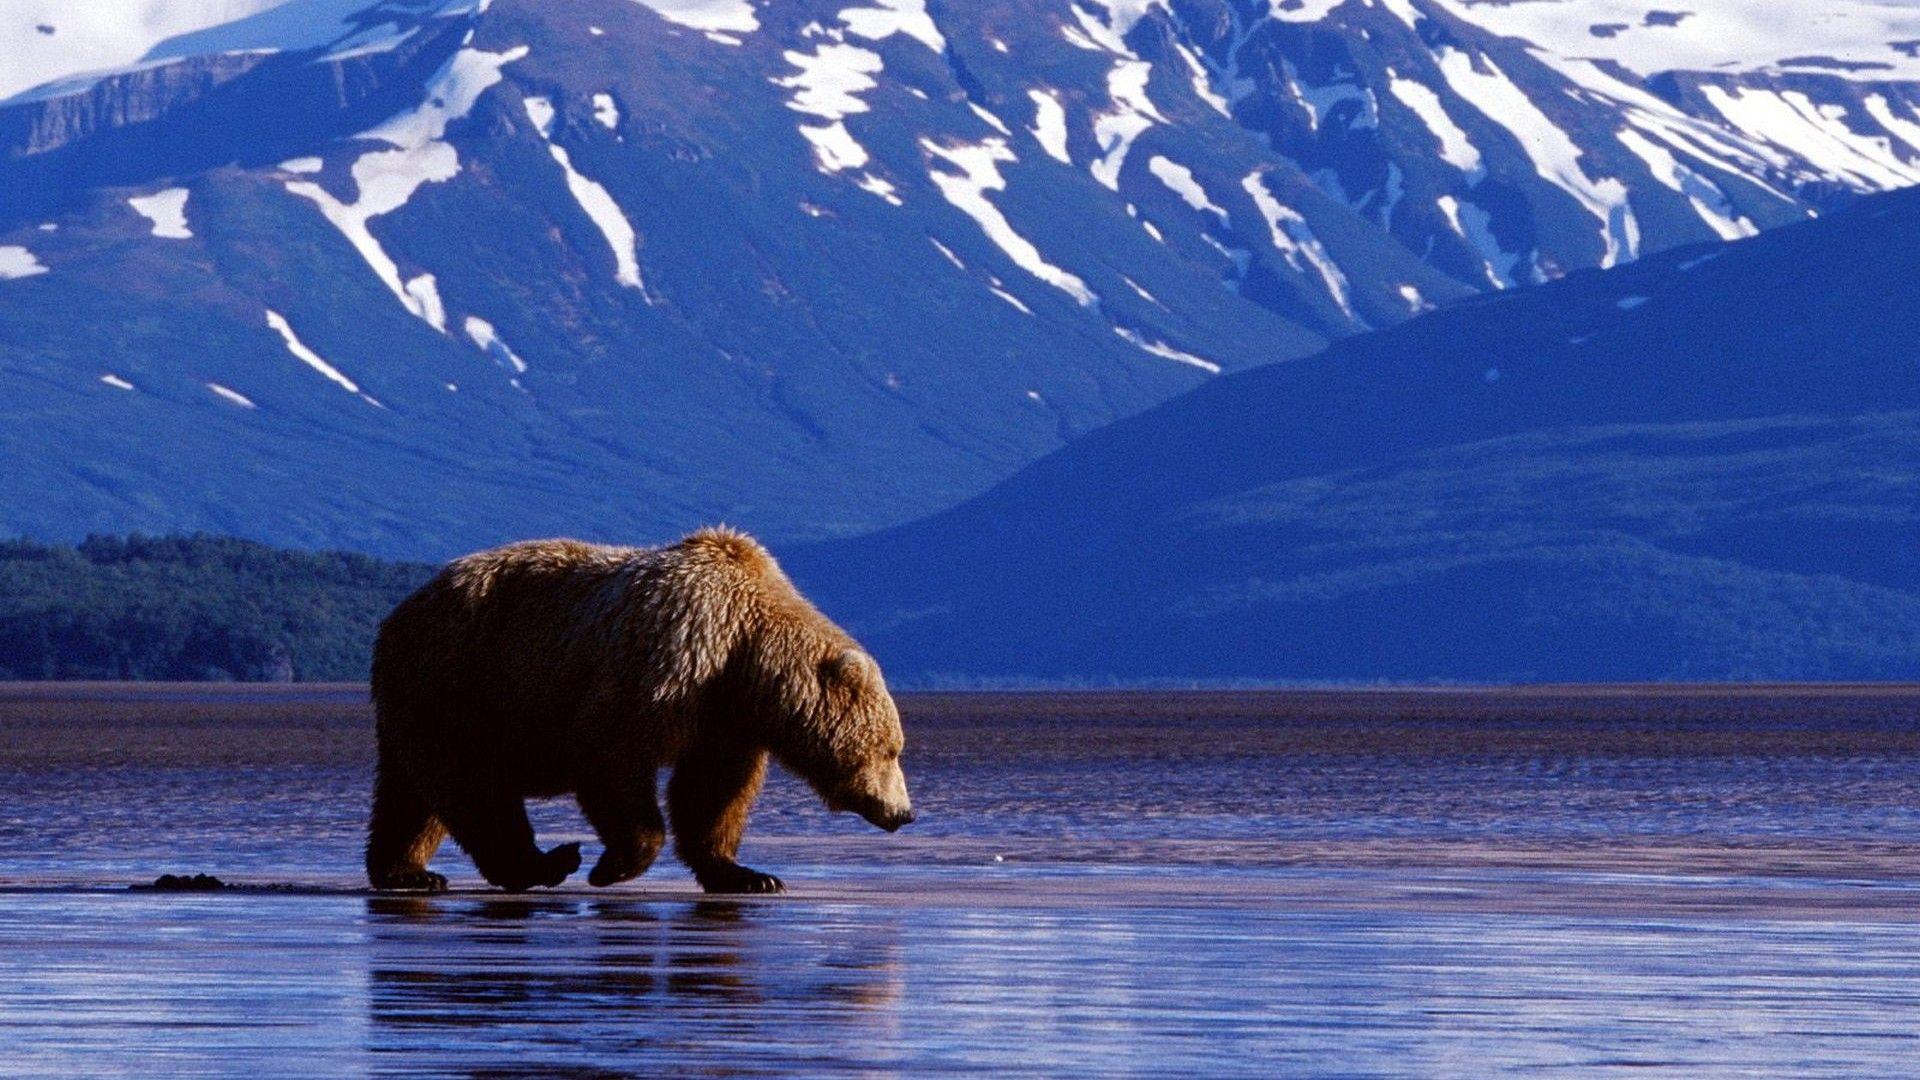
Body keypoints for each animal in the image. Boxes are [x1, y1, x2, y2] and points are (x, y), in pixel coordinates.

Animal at [364, 527, 913, 894]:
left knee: (410, 795)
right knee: (473, 784)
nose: (903, 813)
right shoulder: (669, 663)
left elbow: (713, 792)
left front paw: (747, 874)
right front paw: (614, 864)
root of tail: (398, 614)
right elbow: (610, 751)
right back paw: (543, 863)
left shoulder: (724, 719)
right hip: (462, 680)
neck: (744, 652)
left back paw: (406, 870)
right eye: (891, 749)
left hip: (429, 695)